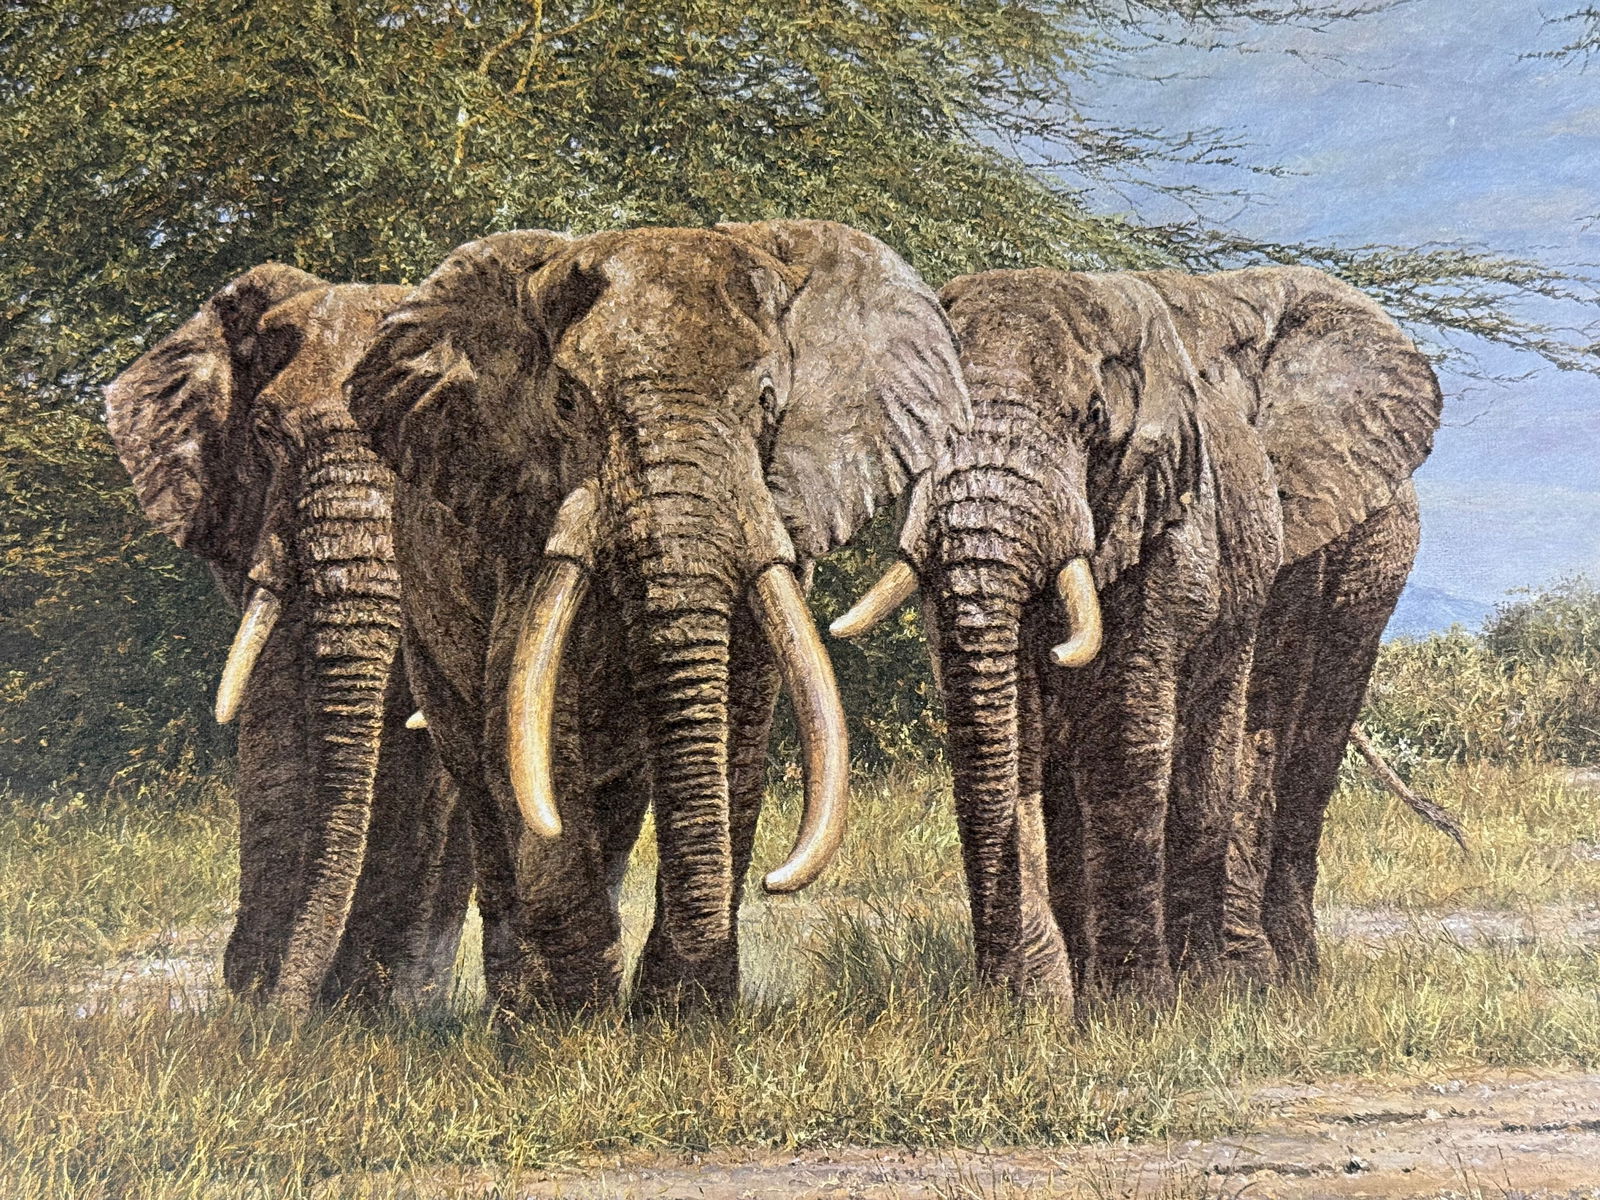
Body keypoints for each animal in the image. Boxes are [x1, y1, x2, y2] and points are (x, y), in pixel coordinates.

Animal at [345, 220, 970, 1017]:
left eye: (767, 401)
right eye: (569, 402)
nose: (777, 881)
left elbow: (741, 720)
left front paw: (685, 1016)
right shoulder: (520, 513)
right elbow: (534, 725)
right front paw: (574, 1021)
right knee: (483, 779)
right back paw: (521, 1005)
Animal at [834, 266, 1440, 1004]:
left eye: (1094, 420)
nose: (996, 992)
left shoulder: (1200, 524)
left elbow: (1133, 733)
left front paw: (1141, 1007)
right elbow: (1015, 726)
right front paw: (1036, 1005)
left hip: (1369, 577)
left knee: (1294, 749)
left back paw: (1259, 979)